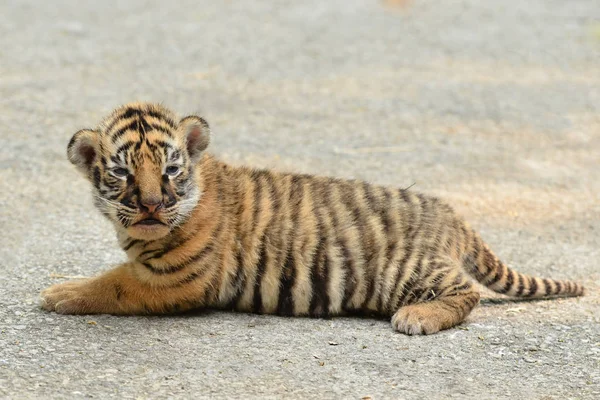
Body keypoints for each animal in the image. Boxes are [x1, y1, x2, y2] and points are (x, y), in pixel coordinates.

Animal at [39, 102, 584, 334]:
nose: (152, 205)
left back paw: (416, 318)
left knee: (465, 290)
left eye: (171, 170)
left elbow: (113, 283)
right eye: (124, 174)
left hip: (405, 269)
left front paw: (60, 292)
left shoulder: (174, 279)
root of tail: (450, 212)